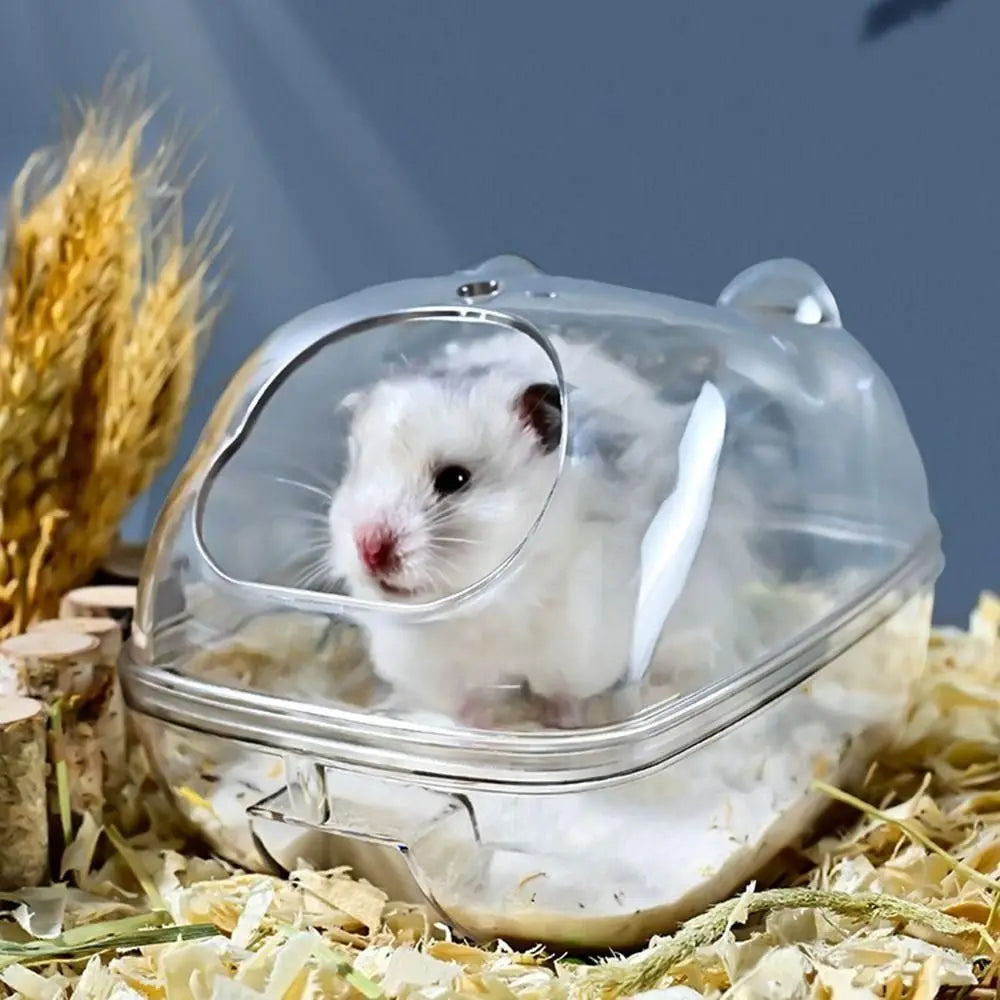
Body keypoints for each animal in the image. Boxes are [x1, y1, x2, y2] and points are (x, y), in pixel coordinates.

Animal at [326, 331, 768, 728]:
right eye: (356, 470)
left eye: (454, 479)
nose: (369, 549)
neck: (487, 607)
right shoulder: (434, 668)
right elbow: (463, 705)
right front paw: (481, 731)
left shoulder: (580, 646)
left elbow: (563, 694)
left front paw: (562, 723)